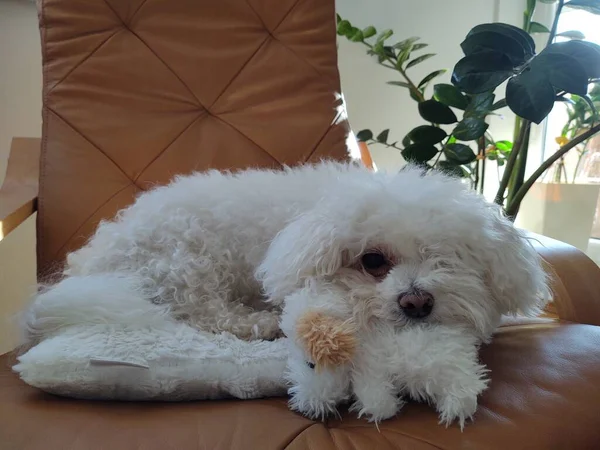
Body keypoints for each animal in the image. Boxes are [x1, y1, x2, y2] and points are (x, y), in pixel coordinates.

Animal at [22, 161, 548, 426]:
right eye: (372, 261)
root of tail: (98, 255)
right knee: (201, 311)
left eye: (447, 259)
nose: (416, 303)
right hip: (188, 258)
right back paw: (260, 321)